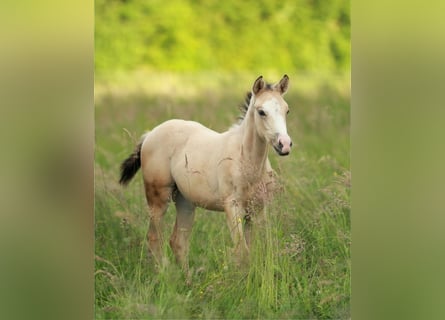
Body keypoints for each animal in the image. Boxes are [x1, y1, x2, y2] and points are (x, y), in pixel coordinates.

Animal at [119, 74, 292, 272]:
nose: (284, 144)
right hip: (158, 198)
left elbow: (253, 251)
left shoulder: (257, 210)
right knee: (154, 238)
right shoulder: (232, 207)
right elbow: (241, 252)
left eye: (287, 110)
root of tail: (150, 134)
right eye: (261, 112)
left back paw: (186, 278)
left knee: (178, 242)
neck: (247, 163)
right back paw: (164, 273)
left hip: (185, 201)